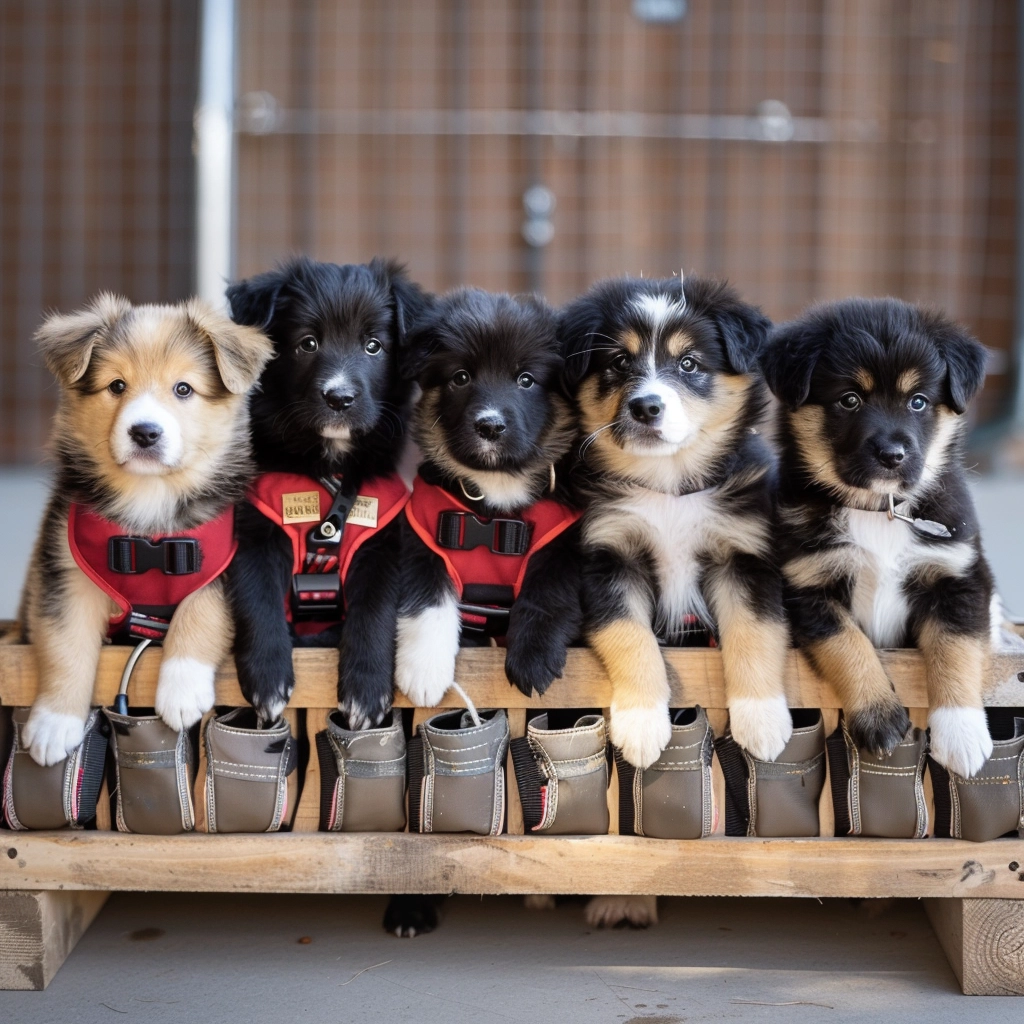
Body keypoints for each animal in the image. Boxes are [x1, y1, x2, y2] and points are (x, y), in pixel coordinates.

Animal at [19, 292, 272, 765]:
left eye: (183, 389)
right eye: (117, 386)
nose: (145, 433)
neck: (151, 497)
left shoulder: (225, 564)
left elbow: (202, 611)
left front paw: (181, 688)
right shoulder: (64, 572)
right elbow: (65, 644)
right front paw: (53, 723)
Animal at [224, 256, 432, 729]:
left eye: (373, 346)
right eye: (308, 343)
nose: (339, 398)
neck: (330, 470)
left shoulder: (381, 545)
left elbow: (375, 608)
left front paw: (366, 690)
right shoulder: (254, 533)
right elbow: (257, 596)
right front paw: (267, 679)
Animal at [393, 286, 585, 704]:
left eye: (526, 379)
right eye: (461, 377)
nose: (490, 426)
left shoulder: (564, 545)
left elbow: (548, 594)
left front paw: (533, 660)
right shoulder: (421, 538)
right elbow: (428, 599)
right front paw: (424, 672)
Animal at [557, 276, 786, 770]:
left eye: (688, 363)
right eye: (620, 362)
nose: (646, 407)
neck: (667, 483)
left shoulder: (745, 553)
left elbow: (755, 633)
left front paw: (762, 720)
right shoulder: (608, 555)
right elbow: (628, 635)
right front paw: (642, 724)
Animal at [765, 296, 995, 774]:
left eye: (919, 401)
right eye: (849, 400)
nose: (892, 455)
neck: (879, 509)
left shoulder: (960, 577)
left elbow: (956, 650)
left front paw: (961, 733)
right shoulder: (808, 586)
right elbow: (847, 645)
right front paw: (879, 717)